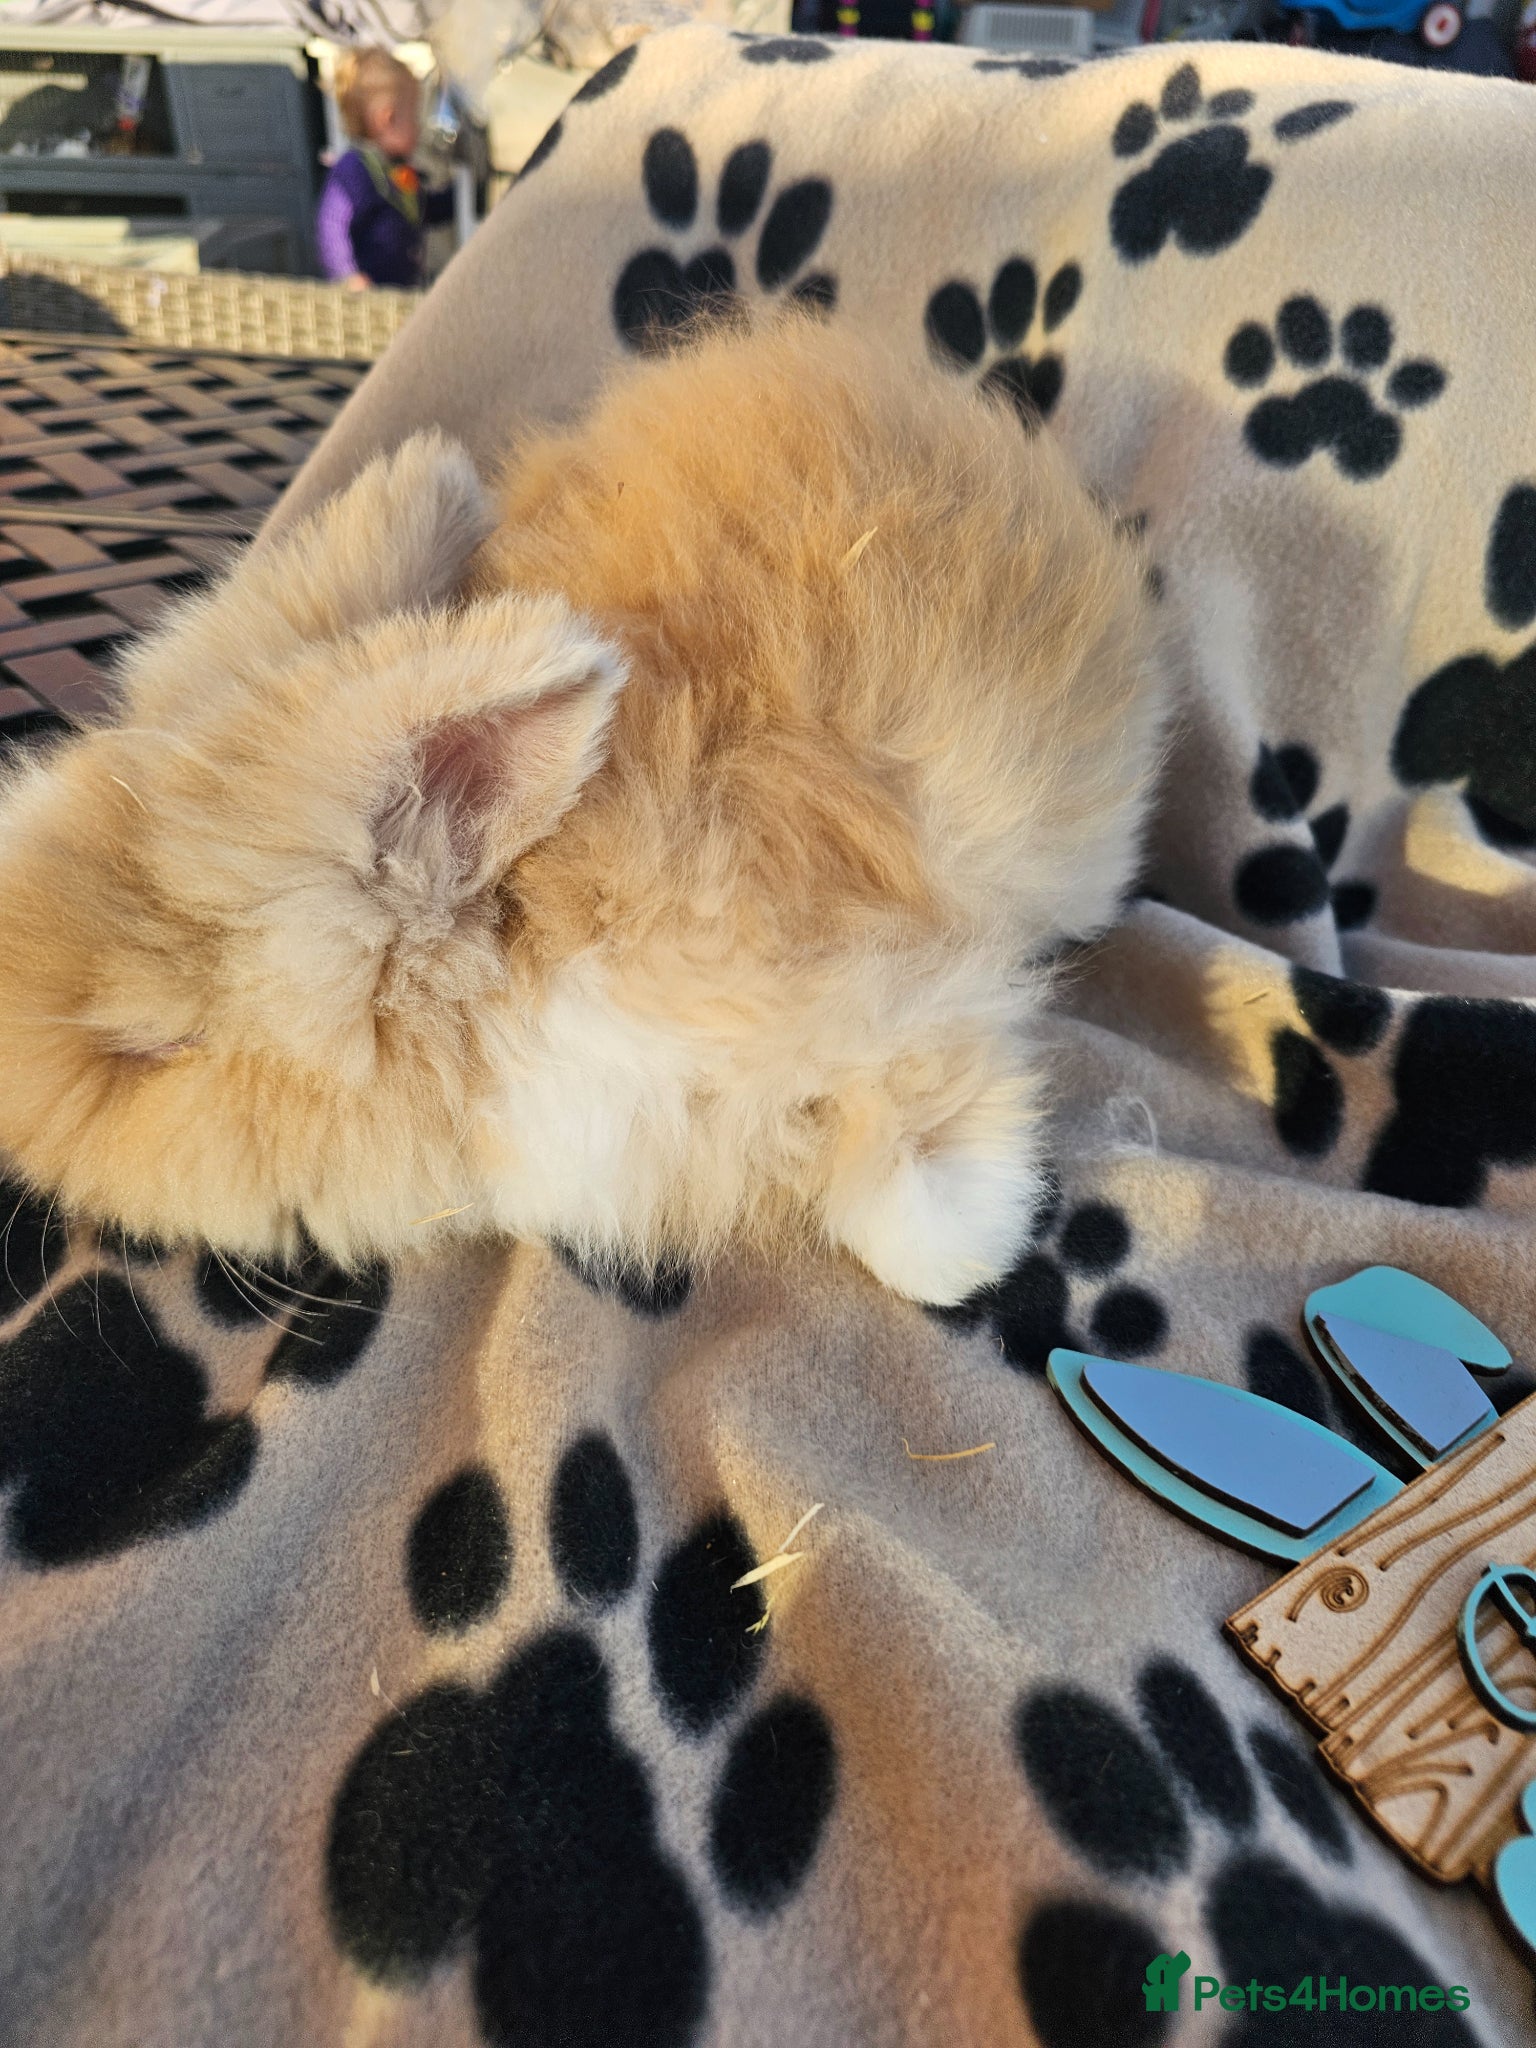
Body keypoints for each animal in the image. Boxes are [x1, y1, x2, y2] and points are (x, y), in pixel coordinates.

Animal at [0, 313, 1166, 1307]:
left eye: (158, 1044)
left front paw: (983, 1235)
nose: (19, 1145)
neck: (516, 950)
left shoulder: (887, 1001)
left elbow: (916, 1218)